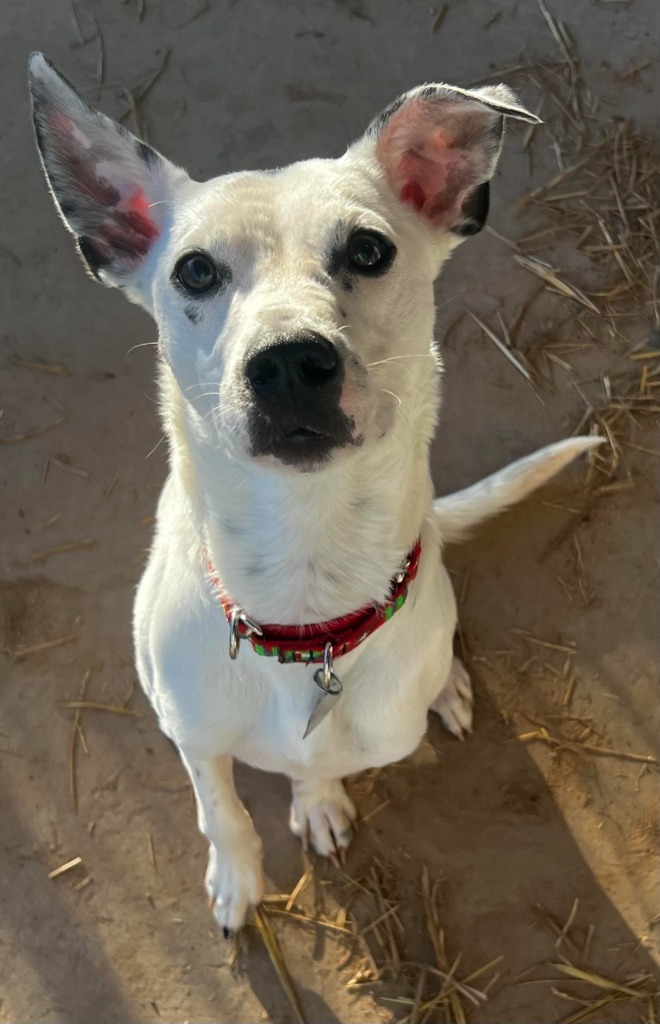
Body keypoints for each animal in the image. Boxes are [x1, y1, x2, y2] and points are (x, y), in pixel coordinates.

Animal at [28, 56, 601, 937]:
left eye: (368, 249)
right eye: (195, 269)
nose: (290, 362)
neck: (303, 602)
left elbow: (316, 764)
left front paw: (318, 798)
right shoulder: (190, 732)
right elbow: (220, 808)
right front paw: (238, 877)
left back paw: (449, 684)